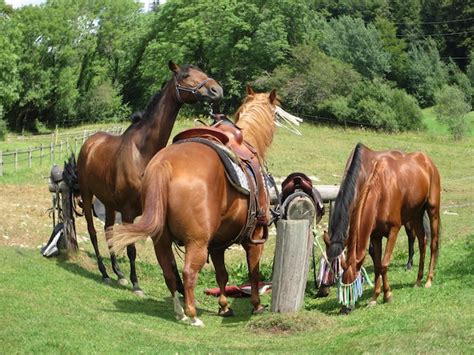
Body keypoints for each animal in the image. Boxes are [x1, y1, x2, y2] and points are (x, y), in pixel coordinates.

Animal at [76, 61, 224, 294]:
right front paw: (136, 283)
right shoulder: (128, 211)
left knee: (108, 231)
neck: (142, 152)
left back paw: (118, 273)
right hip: (87, 194)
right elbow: (131, 249)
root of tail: (89, 143)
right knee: (93, 232)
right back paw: (105, 273)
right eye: (185, 75)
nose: (216, 90)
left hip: (108, 203)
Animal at [109, 87, 298, 326]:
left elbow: (222, 275)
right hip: (196, 242)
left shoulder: (217, 244)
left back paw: (179, 311)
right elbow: (253, 273)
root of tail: (164, 164)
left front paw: (224, 306)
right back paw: (192, 315)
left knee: (169, 272)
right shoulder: (254, 237)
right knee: (189, 272)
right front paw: (256, 305)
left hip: (161, 239)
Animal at [326, 152, 440, 312]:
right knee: (422, 243)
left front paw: (388, 296)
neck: (381, 192)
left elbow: (384, 264)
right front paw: (375, 298)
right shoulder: (375, 236)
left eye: (355, 283)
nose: (345, 309)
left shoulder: (394, 230)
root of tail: (427, 161)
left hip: (432, 209)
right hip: (416, 214)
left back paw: (428, 280)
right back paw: (418, 280)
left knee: (433, 243)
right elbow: (378, 266)